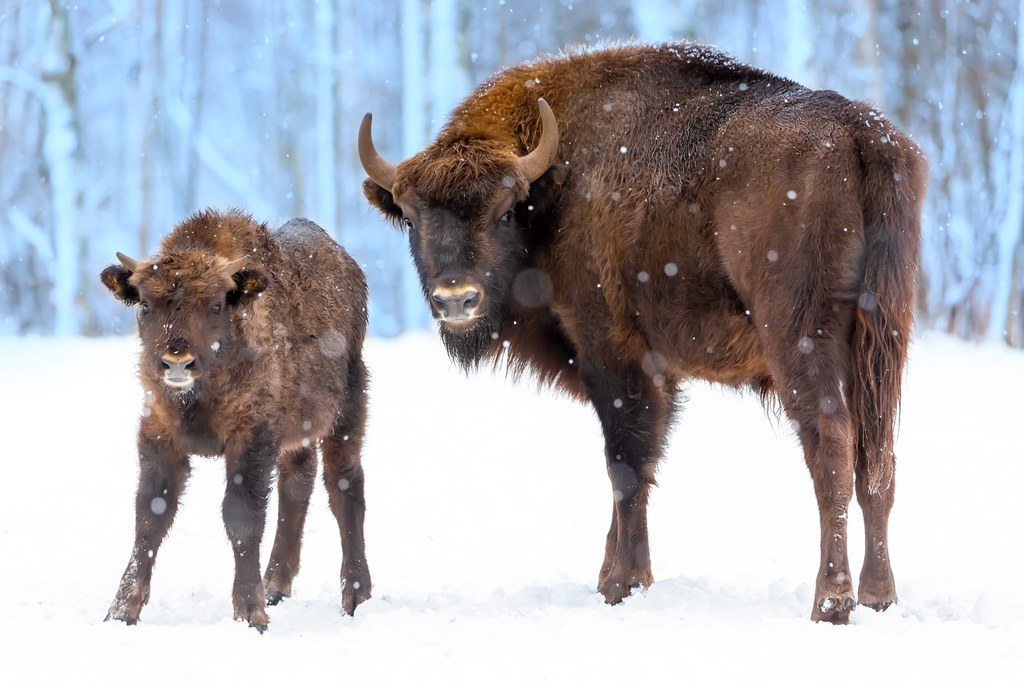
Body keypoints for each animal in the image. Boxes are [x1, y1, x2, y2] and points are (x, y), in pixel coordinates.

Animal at [99, 206, 370, 626]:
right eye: (145, 304)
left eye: (215, 305)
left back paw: (355, 596)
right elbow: (151, 514)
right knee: (297, 485)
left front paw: (250, 614)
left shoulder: (252, 437)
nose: (177, 361)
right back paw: (275, 585)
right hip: (299, 432)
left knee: (344, 486)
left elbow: (241, 517)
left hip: (347, 413)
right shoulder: (159, 434)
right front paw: (120, 611)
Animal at [360, 42, 929, 622]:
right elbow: (642, 462)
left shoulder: (608, 351)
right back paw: (879, 596)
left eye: (503, 212)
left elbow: (626, 463)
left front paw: (622, 584)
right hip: (881, 342)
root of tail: (859, 131)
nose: (457, 299)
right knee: (877, 460)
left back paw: (831, 602)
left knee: (831, 445)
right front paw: (610, 576)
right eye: (411, 218)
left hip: (799, 338)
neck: (555, 185)